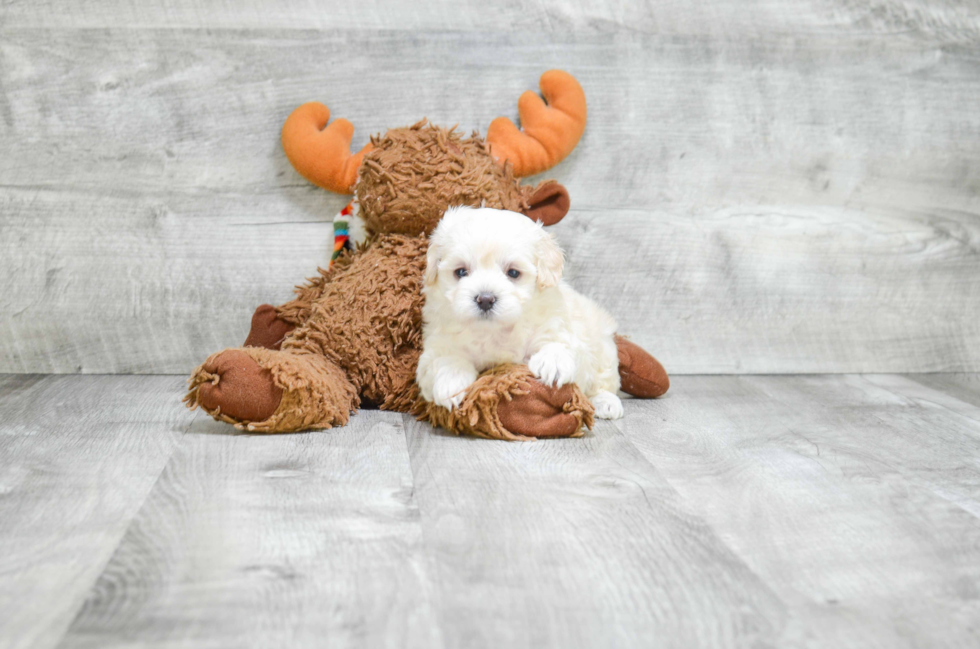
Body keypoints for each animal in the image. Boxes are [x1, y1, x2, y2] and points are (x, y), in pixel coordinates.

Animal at [418, 208, 624, 420]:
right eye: (460, 272)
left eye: (513, 273)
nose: (485, 299)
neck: (495, 330)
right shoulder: (435, 347)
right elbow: (444, 359)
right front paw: (451, 381)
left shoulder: (560, 326)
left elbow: (560, 343)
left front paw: (553, 362)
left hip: (603, 348)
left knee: (604, 380)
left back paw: (606, 402)